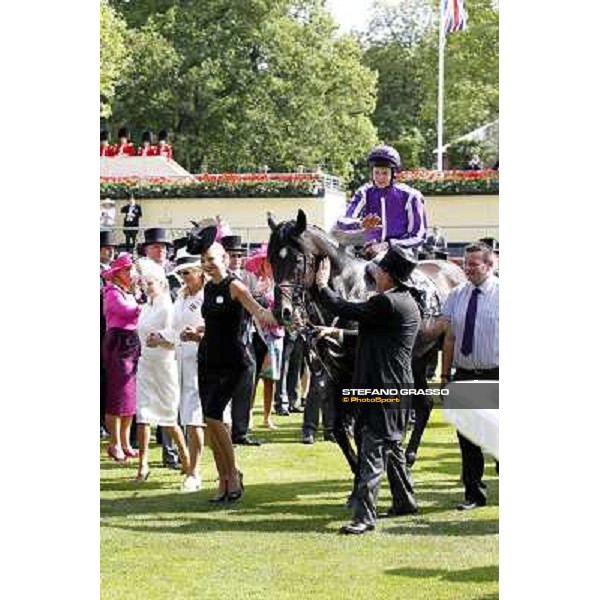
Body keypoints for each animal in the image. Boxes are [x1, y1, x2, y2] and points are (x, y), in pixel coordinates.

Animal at [268, 211, 468, 478]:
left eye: (298, 259)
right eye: (271, 259)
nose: (283, 312)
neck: (348, 290)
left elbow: (362, 426)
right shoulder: (334, 373)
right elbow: (340, 428)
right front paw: (357, 466)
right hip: (416, 359)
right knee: (423, 405)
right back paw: (409, 457)